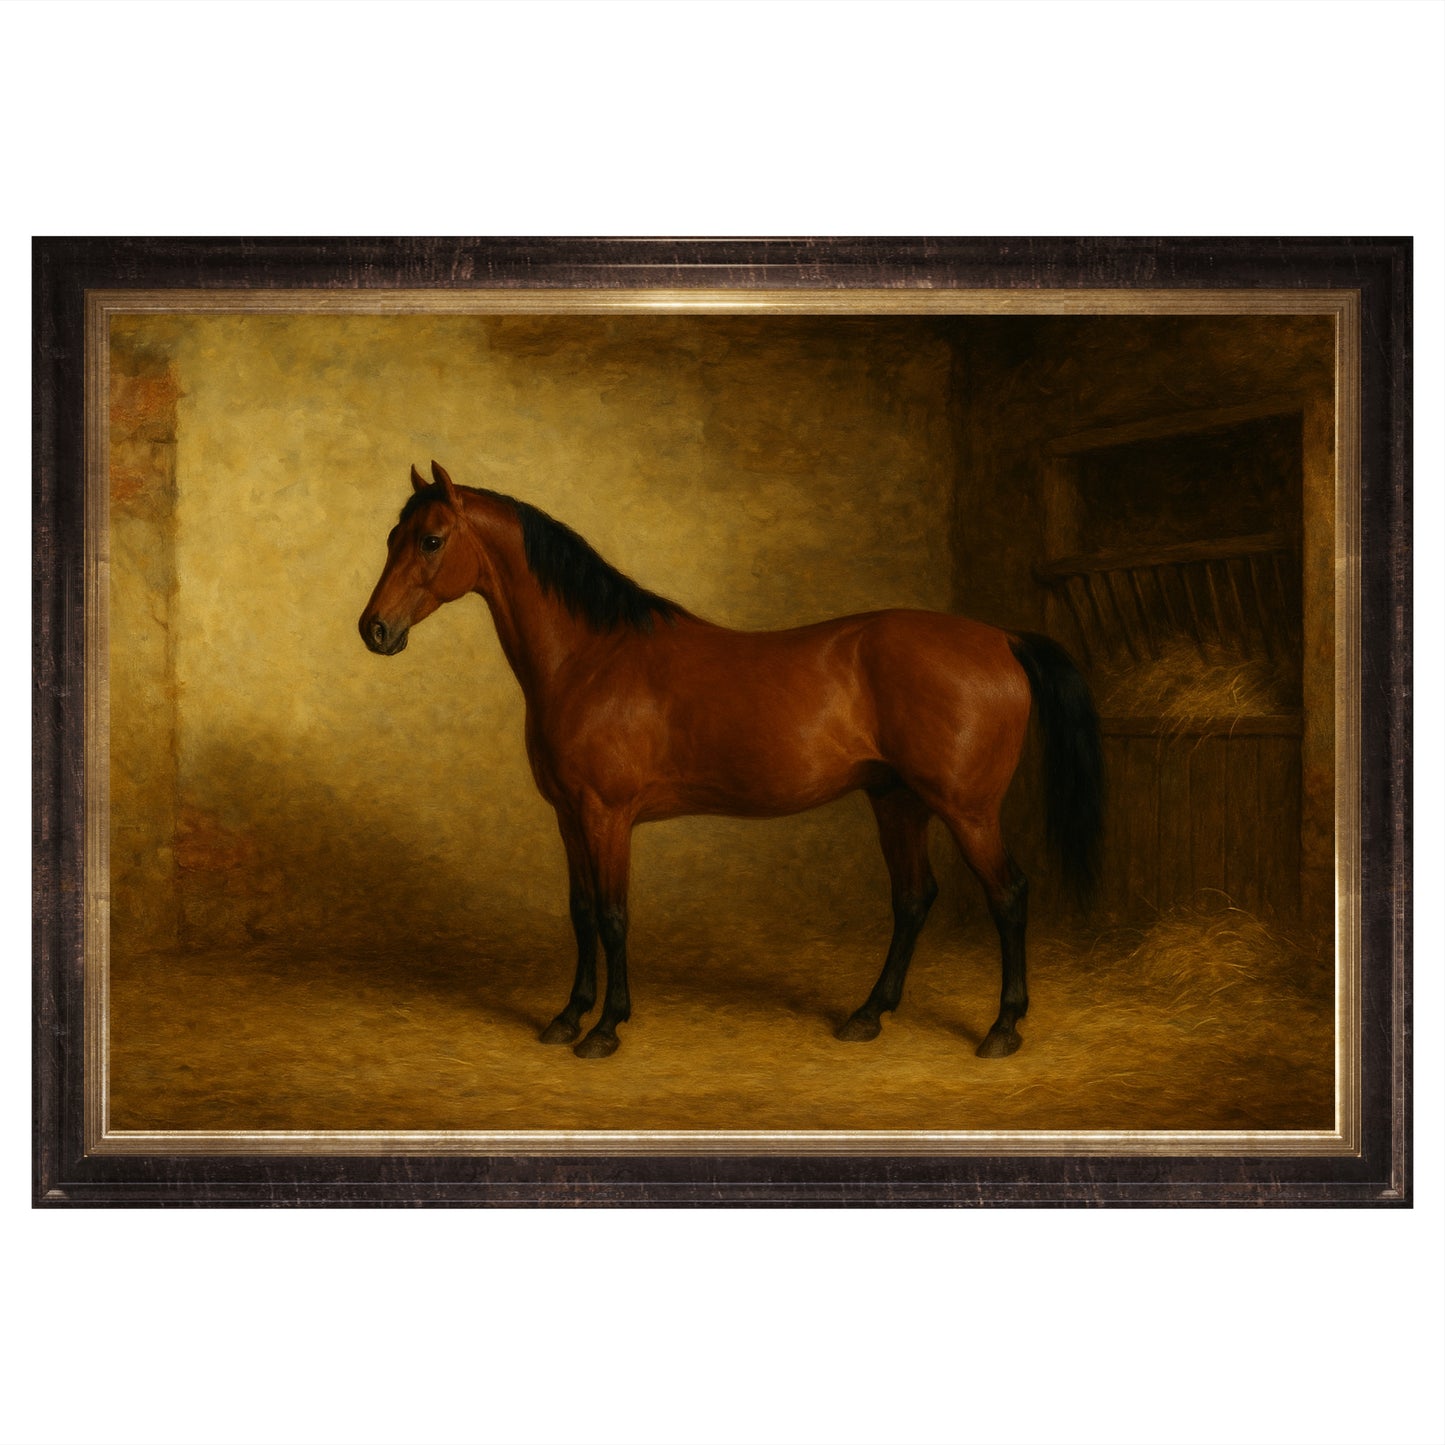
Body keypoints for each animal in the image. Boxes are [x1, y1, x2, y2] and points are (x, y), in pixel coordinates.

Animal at [359, 462, 1103, 1060]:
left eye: (431, 539)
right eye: (392, 538)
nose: (374, 630)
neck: (591, 657)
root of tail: (1001, 638)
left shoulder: (607, 816)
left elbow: (614, 915)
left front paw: (605, 1028)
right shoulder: (569, 817)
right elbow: (580, 911)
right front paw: (567, 1016)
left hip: (966, 809)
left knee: (1008, 895)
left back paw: (1002, 1028)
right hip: (897, 801)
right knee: (913, 898)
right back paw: (867, 1015)